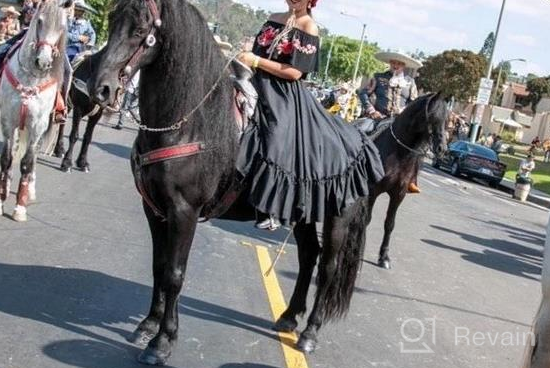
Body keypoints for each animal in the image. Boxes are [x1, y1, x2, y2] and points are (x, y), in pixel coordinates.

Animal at [90, 0, 450, 362]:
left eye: (140, 30)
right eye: (113, 18)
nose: (100, 88)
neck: (190, 123)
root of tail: (363, 141)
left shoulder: (184, 211)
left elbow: (175, 274)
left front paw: (163, 342)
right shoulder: (154, 208)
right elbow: (159, 266)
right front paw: (148, 325)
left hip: (338, 218)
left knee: (328, 267)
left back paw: (309, 333)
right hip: (305, 215)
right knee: (309, 255)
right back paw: (290, 317)